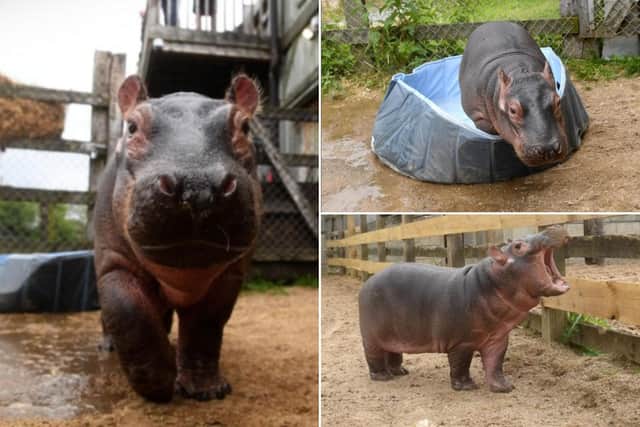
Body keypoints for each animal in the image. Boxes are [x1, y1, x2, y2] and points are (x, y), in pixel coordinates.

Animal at [93, 74, 262, 402]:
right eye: (131, 126)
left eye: (246, 127)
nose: (198, 186)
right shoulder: (114, 261)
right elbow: (128, 312)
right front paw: (159, 387)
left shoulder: (230, 273)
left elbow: (205, 326)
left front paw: (208, 391)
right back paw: (108, 347)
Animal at [358, 226, 569, 393]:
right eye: (518, 246)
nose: (555, 226)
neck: (491, 283)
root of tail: (368, 282)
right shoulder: (462, 342)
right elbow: (461, 364)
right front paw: (467, 386)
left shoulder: (498, 338)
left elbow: (495, 363)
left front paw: (504, 387)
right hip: (371, 337)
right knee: (373, 356)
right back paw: (383, 377)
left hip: (394, 336)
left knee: (393, 352)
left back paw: (400, 372)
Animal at [459, 22, 568, 167]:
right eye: (512, 110)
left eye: (558, 102)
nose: (548, 148)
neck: (520, 72)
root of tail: (493, 22)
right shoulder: (478, 116)